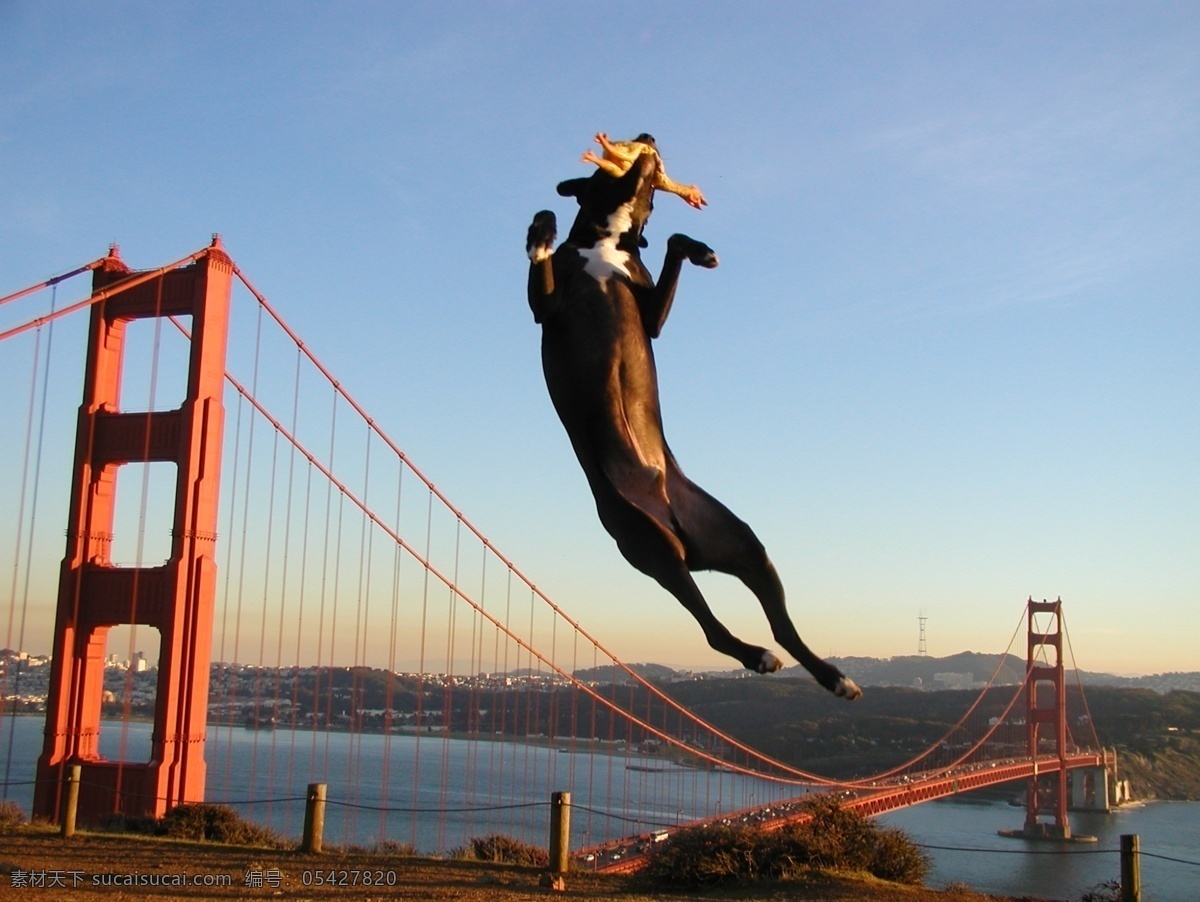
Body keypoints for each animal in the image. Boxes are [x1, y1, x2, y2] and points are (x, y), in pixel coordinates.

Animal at [523, 135, 854, 695]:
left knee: (771, 628)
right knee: (718, 631)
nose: (649, 137)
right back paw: (776, 662)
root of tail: (674, 517)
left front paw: (701, 250)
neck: (604, 239)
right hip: (653, 546)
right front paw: (541, 228)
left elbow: (674, 242)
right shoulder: (546, 308)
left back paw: (824, 675)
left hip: (736, 543)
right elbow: (543, 234)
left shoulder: (649, 315)